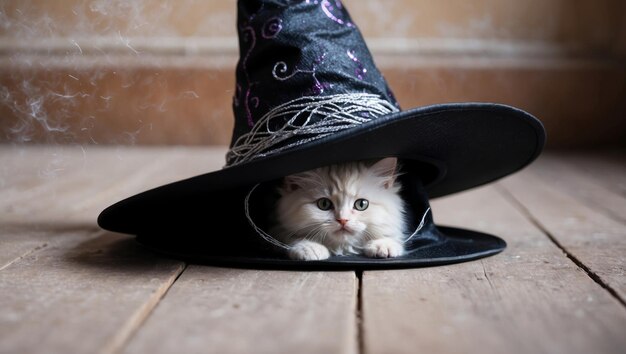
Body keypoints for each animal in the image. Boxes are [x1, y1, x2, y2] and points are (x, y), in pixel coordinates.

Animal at [272, 158, 404, 260]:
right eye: (324, 204)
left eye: (361, 204)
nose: (343, 220)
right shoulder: (279, 229)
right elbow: (294, 237)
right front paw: (310, 247)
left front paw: (383, 245)